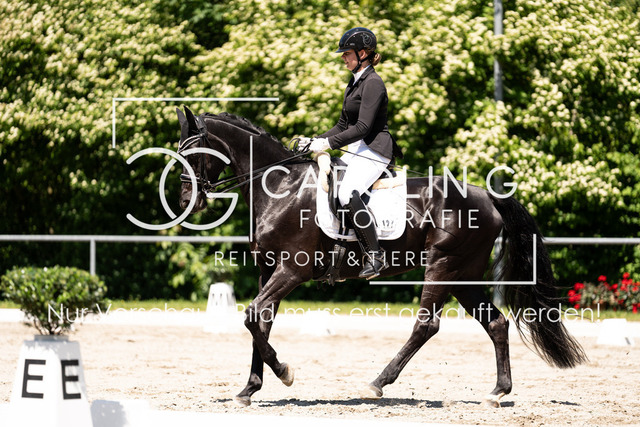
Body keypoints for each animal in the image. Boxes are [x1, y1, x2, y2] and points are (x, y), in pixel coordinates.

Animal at [174, 106, 587, 408]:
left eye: (194, 154)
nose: (186, 202)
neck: (282, 188)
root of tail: (486, 195)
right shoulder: (268, 271)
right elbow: (260, 322)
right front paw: (249, 389)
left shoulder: (292, 270)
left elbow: (251, 317)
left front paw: (285, 372)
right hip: (463, 276)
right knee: (496, 324)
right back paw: (497, 393)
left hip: (443, 266)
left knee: (426, 326)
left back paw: (377, 384)